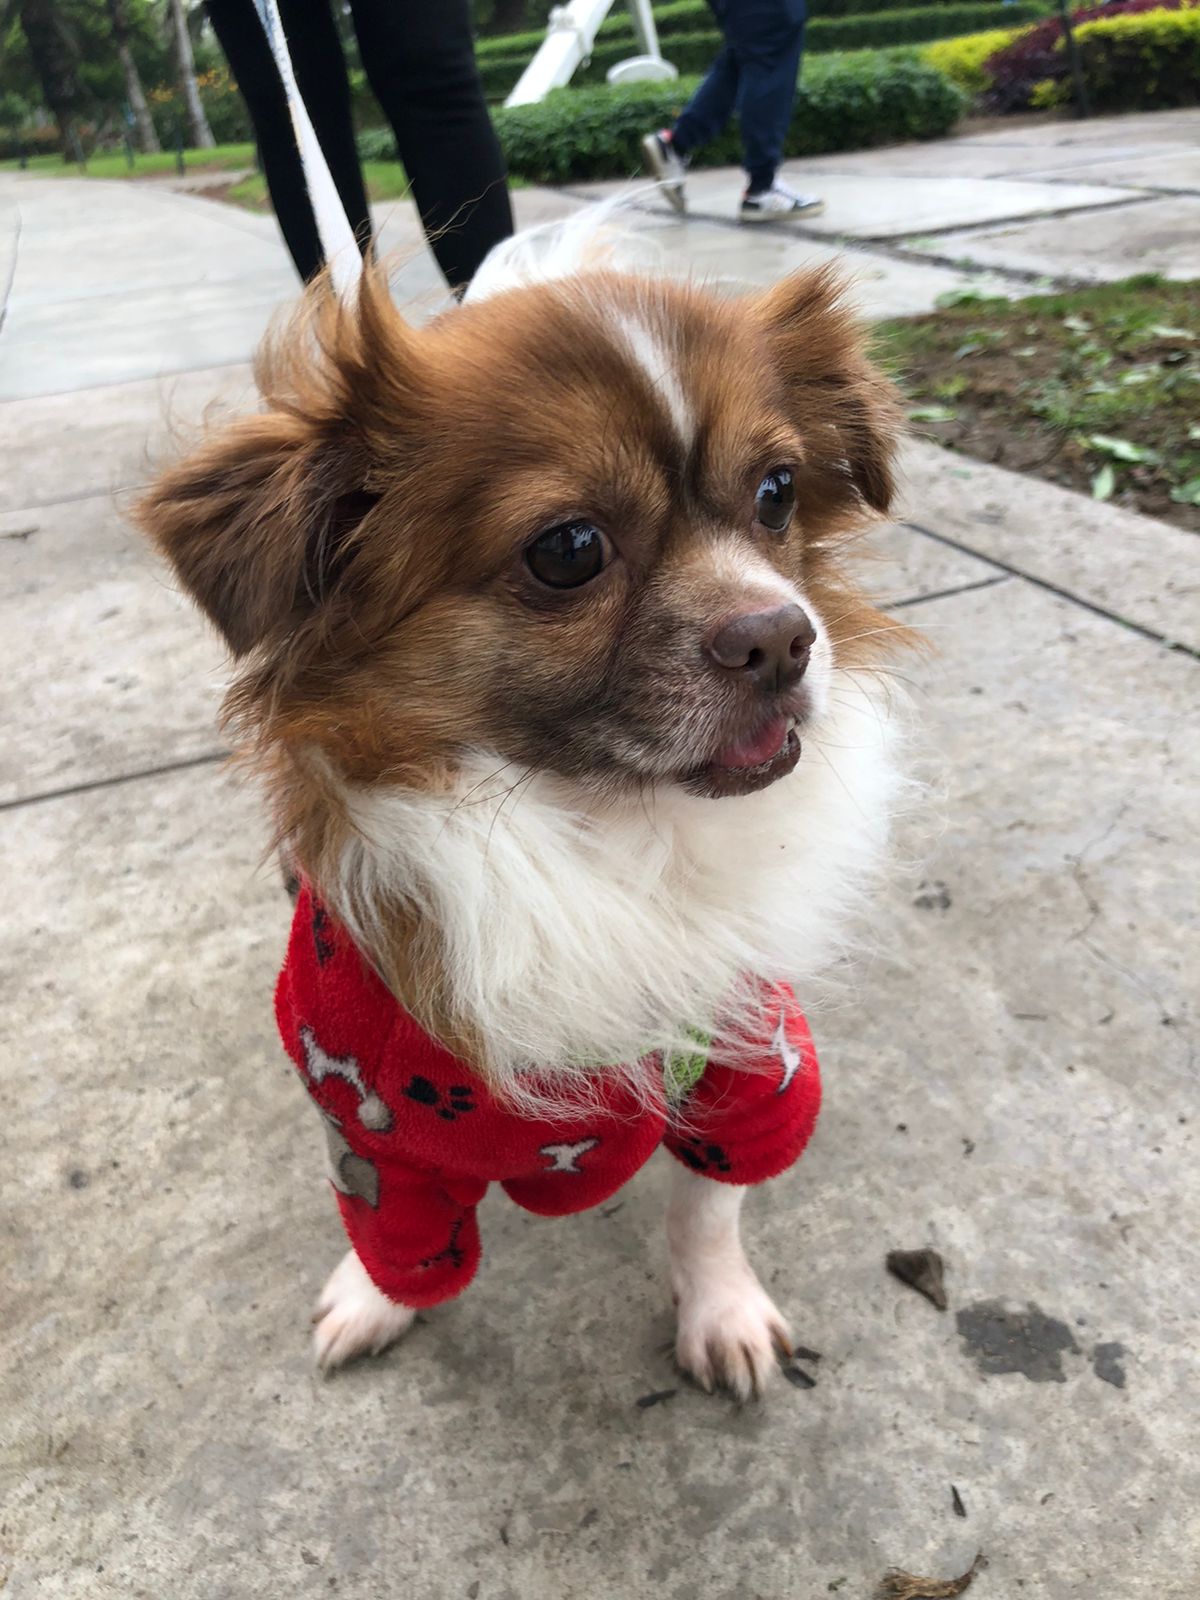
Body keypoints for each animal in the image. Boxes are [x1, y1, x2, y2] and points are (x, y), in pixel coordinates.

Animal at [137, 216, 911, 1399]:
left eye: (778, 491)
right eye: (569, 550)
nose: (783, 638)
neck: (599, 833)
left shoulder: (748, 1072)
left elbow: (707, 1208)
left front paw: (721, 1310)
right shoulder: (376, 1136)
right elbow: (401, 1241)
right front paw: (380, 1302)